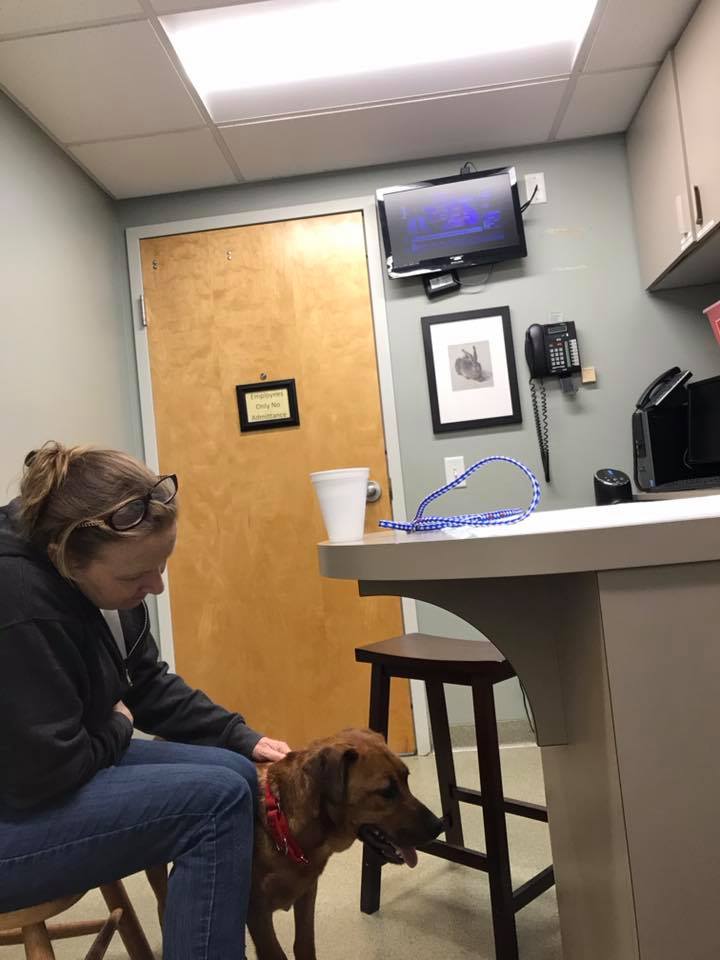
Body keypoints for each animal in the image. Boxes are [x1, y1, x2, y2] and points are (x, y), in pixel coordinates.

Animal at [147, 728, 443, 960]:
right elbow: (275, 954)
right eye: (386, 791)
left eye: (406, 779)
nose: (439, 826)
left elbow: (304, 945)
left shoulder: (307, 894)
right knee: (163, 906)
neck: (285, 827)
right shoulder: (257, 913)